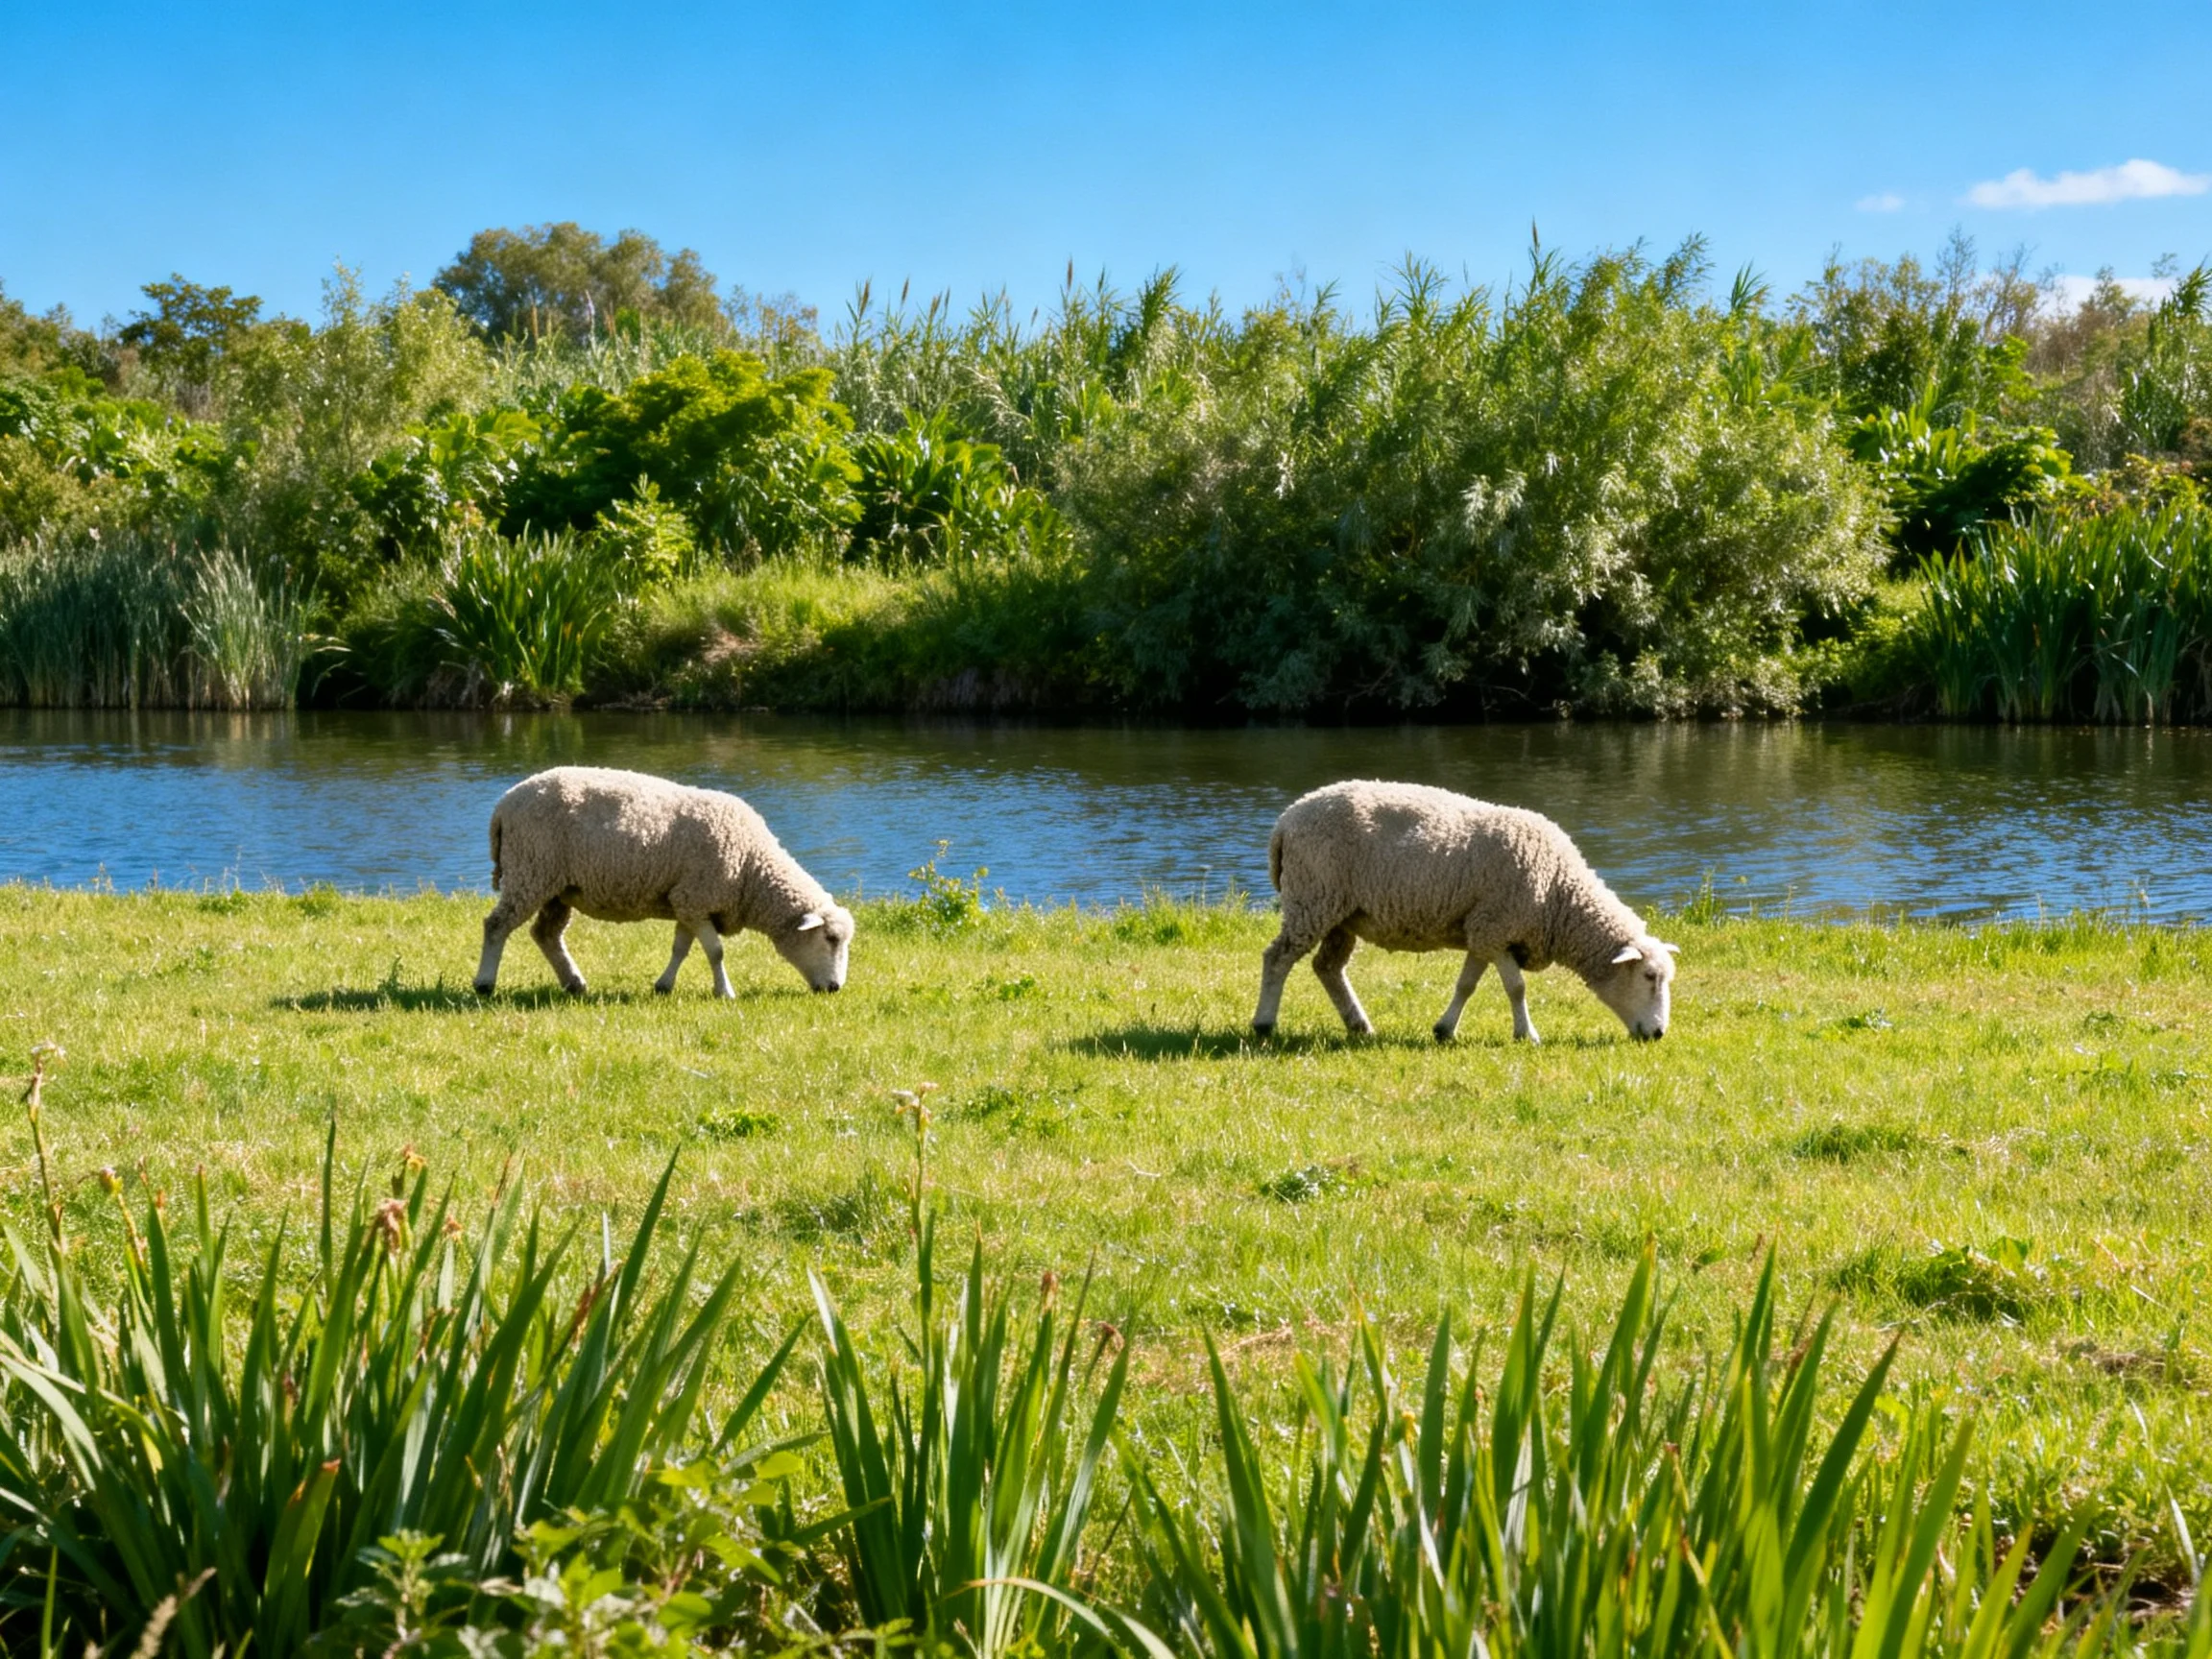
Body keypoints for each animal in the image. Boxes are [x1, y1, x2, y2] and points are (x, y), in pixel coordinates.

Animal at [473, 766, 854, 999]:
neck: (752, 868)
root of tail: (504, 805)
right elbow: (716, 951)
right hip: (530, 870)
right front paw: (725, 992)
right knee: (497, 925)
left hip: (557, 887)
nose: (836, 988)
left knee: (546, 934)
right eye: (830, 938)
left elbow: (681, 949)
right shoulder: (696, 898)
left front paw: (664, 986)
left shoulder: (688, 902)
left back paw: (574, 983)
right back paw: (485, 983)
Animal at [1250, 780, 1676, 1043]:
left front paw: (1444, 1029)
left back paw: (1360, 1025)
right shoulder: (1496, 927)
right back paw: (1264, 1023)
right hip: (1313, 897)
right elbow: (1517, 988)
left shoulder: (1483, 931)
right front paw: (1527, 1035)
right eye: (1649, 976)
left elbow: (1466, 984)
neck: (1560, 896)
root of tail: (1286, 821)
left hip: (1341, 913)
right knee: (1277, 958)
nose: (1658, 1035)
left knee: (1327, 967)